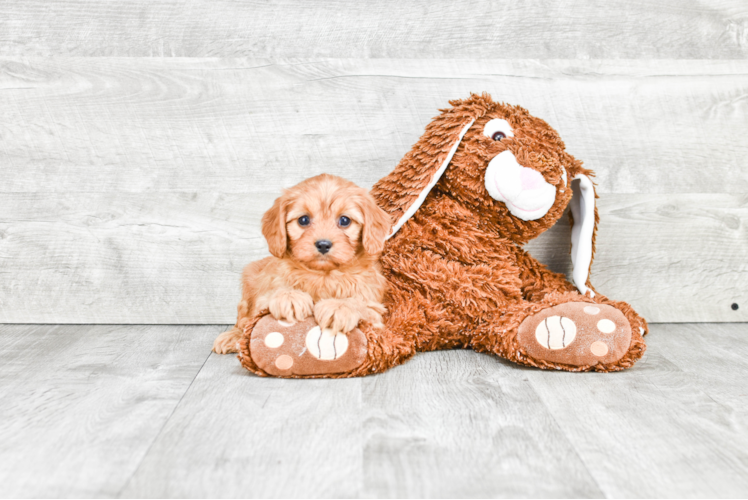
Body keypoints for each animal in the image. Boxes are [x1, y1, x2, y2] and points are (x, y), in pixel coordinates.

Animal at [212, 174, 392, 354]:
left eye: (345, 220)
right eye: (303, 220)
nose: (323, 244)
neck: (323, 275)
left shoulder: (374, 307)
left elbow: (360, 303)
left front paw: (339, 307)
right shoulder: (263, 295)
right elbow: (271, 295)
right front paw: (289, 297)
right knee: (243, 319)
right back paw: (232, 337)